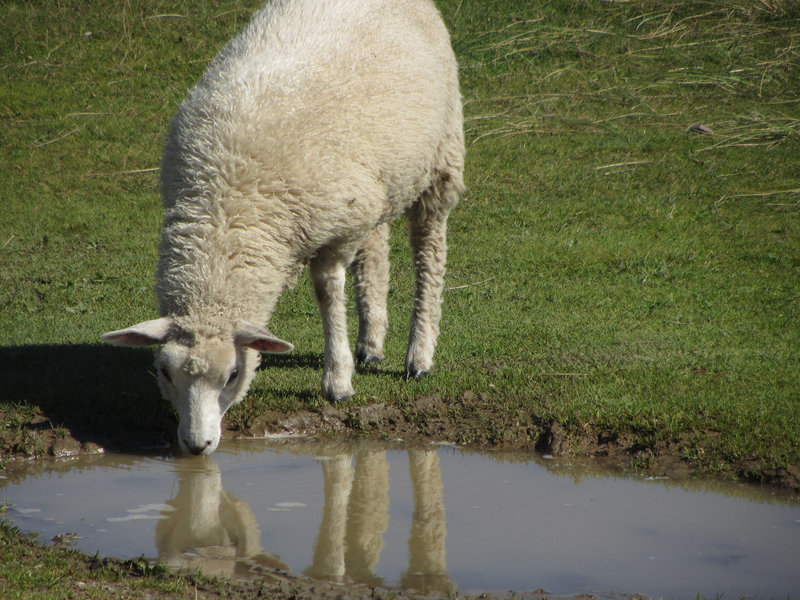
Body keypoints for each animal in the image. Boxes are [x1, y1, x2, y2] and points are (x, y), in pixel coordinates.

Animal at [101, 0, 462, 454]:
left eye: (233, 375)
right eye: (165, 374)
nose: (197, 445)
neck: (226, 208)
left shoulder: (335, 230)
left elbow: (328, 291)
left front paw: (337, 381)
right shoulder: (350, 210)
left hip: (441, 154)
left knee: (429, 250)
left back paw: (419, 355)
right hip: (375, 182)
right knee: (376, 250)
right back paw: (371, 343)